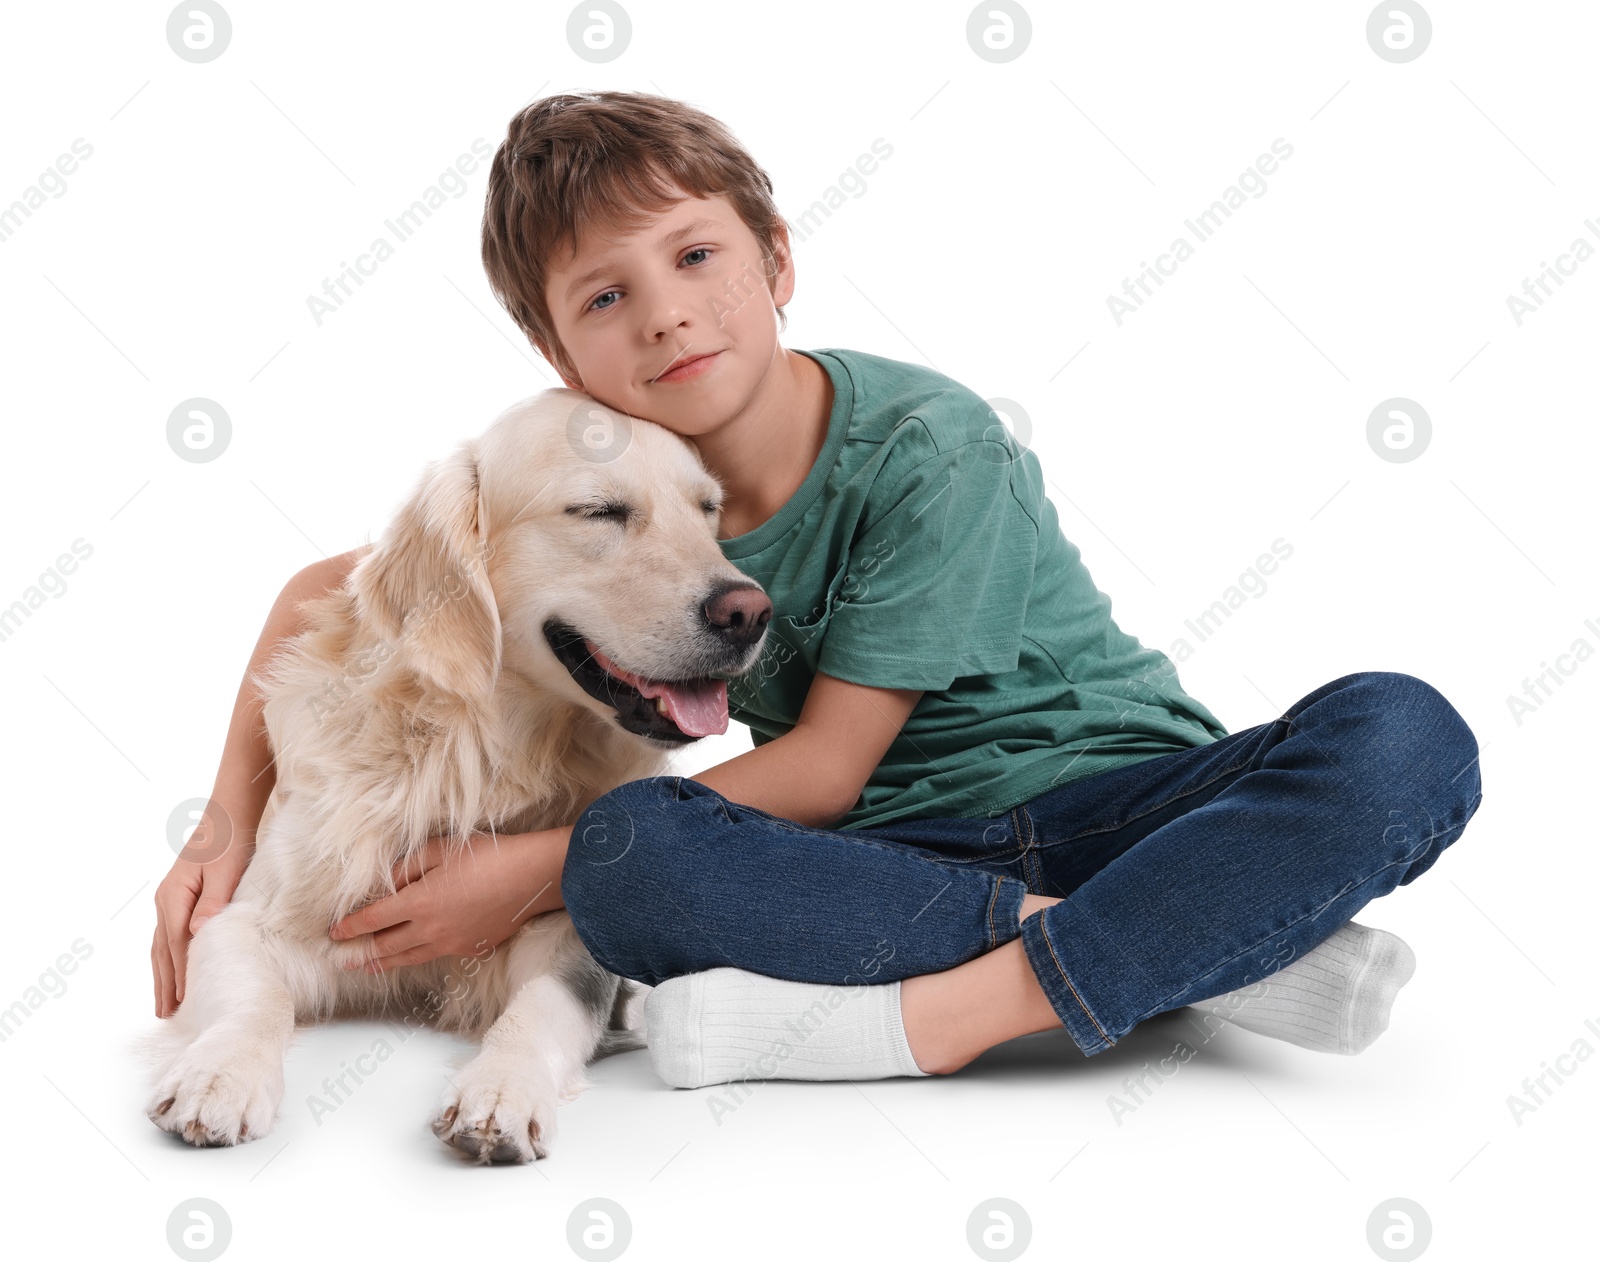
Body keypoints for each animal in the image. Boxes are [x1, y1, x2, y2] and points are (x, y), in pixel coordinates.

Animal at [144, 387, 774, 1164]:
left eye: (708, 509)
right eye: (598, 511)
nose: (750, 612)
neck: (478, 749)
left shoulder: (564, 938)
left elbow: (541, 1011)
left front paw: (502, 1090)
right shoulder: (245, 920)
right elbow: (252, 1001)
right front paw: (218, 1075)